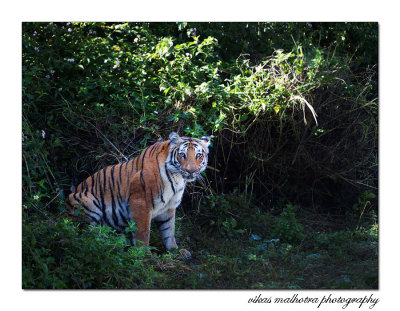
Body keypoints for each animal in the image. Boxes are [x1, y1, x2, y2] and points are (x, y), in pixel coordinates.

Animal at [66, 133, 209, 260]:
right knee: (85, 231)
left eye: (199, 155)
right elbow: (143, 231)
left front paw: (176, 250)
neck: (177, 177)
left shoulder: (168, 208)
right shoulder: (141, 202)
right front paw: (145, 254)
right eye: (182, 155)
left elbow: (169, 231)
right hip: (87, 200)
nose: (191, 171)